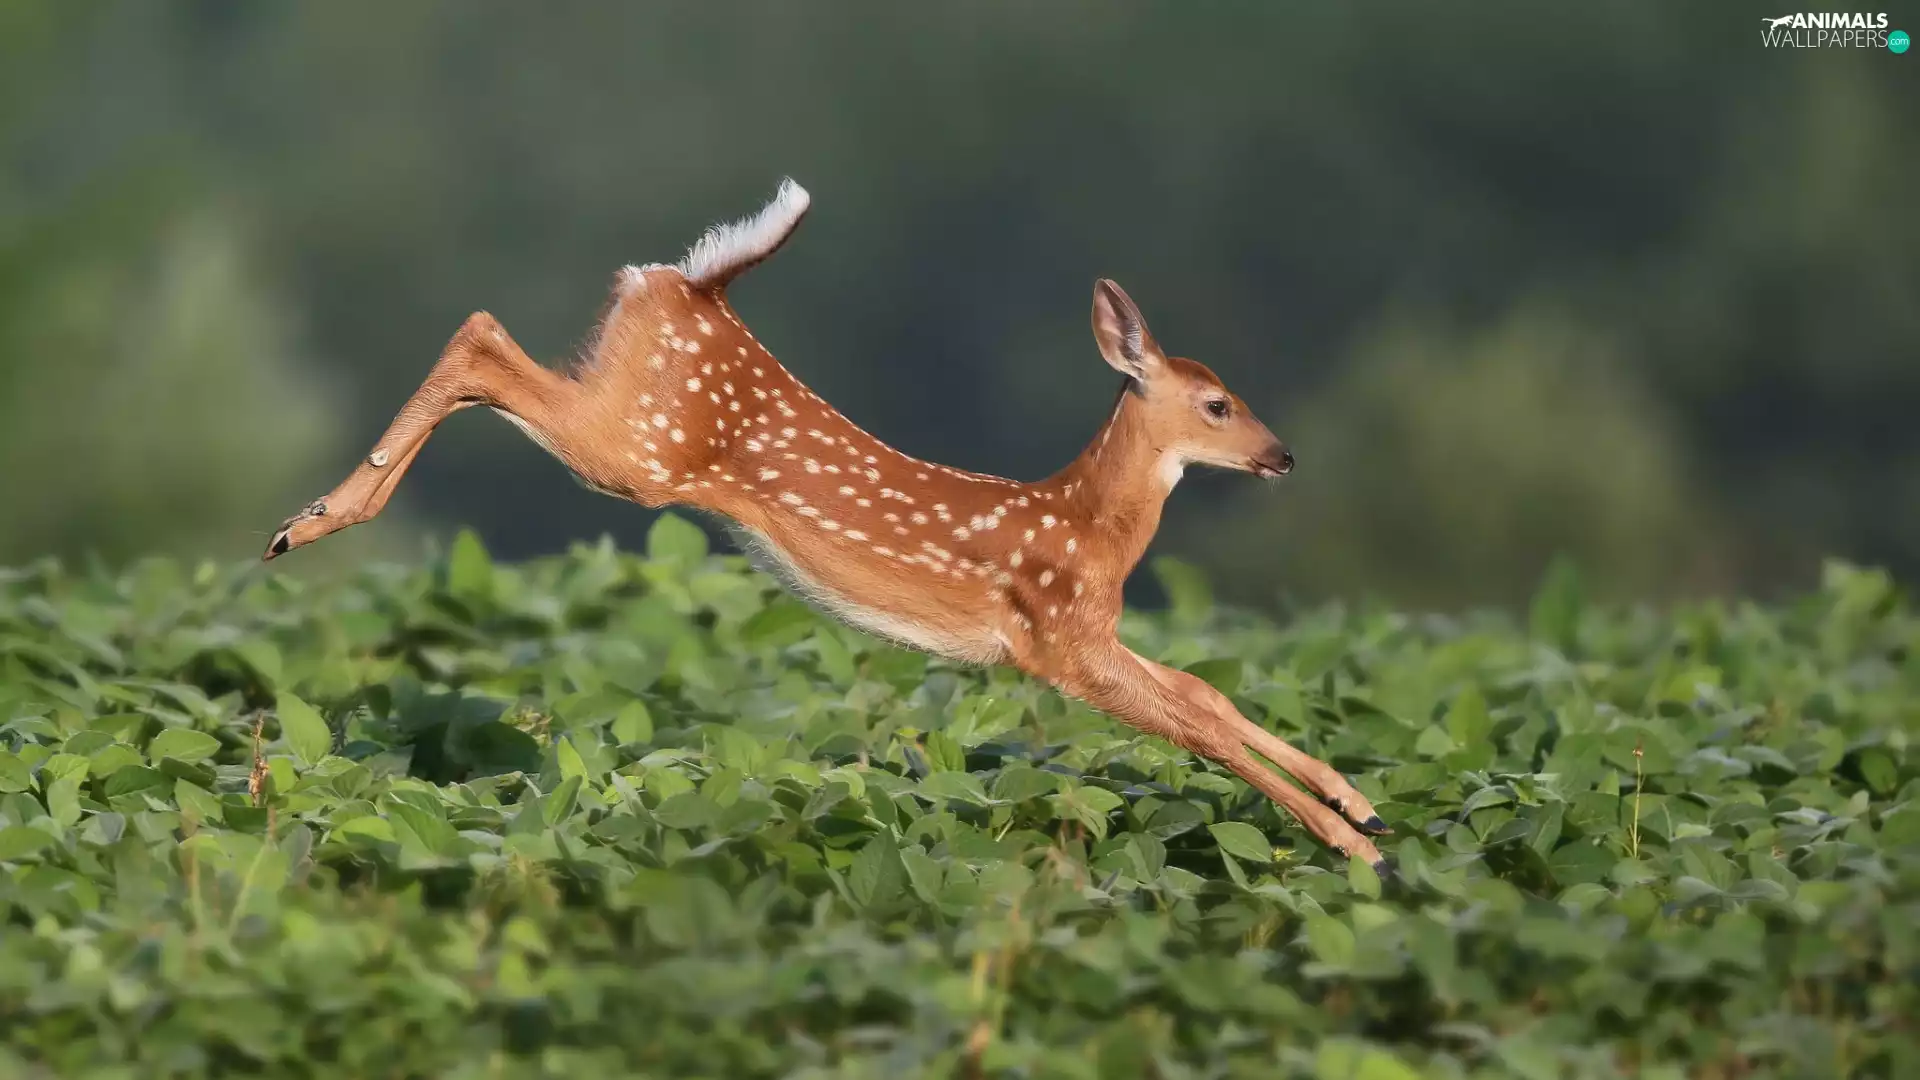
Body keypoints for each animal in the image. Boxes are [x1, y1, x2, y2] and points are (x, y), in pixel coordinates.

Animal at [262, 179, 1392, 871]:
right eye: (1217, 403)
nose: (1284, 455)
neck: (1092, 530)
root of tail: (698, 283)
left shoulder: (1091, 634)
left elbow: (1206, 692)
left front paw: (1360, 802)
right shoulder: (1058, 642)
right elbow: (1197, 724)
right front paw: (1360, 849)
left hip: (624, 405)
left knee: (487, 341)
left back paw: (311, 518)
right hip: (638, 451)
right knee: (483, 336)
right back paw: (311, 522)